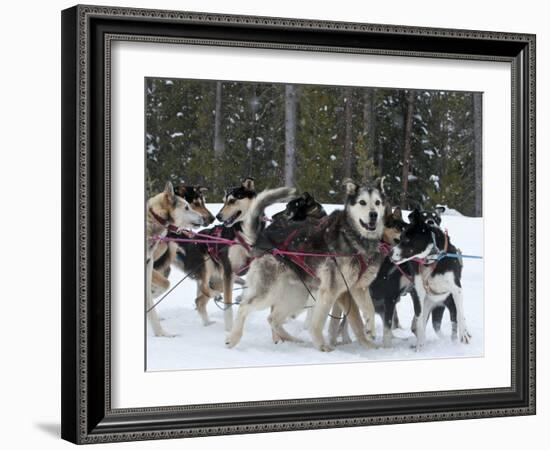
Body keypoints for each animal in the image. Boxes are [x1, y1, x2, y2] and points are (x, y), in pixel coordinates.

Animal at [225, 178, 388, 352]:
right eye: (362, 202)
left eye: (377, 202)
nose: (373, 214)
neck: (354, 238)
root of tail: (261, 238)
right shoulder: (332, 291)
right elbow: (321, 323)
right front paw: (322, 345)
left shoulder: (358, 288)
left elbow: (368, 311)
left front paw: (369, 337)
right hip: (270, 292)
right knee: (245, 307)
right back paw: (233, 338)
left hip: (297, 295)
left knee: (273, 319)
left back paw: (294, 340)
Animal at [390, 209, 472, 350]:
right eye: (400, 238)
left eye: (406, 239)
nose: (390, 253)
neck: (432, 259)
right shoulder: (419, 294)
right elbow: (419, 323)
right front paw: (419, 346)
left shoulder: (456, 289)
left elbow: (461, 315)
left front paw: (464, 334)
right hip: (427, 305)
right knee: (422, 323)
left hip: (449, 304)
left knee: (453, 323)